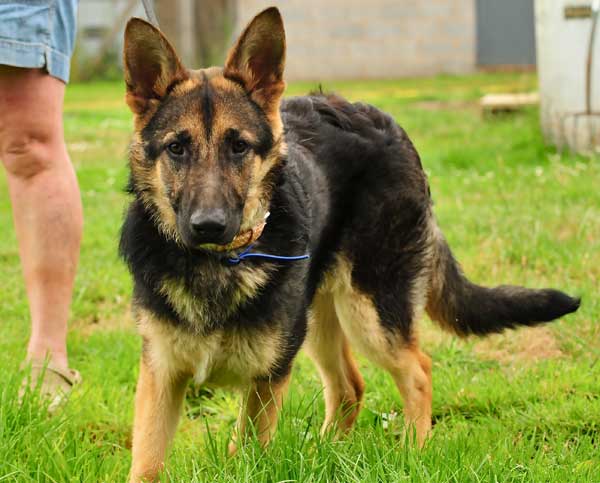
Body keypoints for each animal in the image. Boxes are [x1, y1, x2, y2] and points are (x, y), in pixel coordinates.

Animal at [120, 5, 580, 482]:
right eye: (177, 148)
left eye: (238, 147)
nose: (208, 226)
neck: (218, 266)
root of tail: (391, 126)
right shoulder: (160, 378)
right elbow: (147, 464)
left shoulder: (267, 378)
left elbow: (245, 453)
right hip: (321, 319)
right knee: (349, 388)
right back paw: (324, 453)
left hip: (369, 312)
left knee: (418, 370)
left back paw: (413, 454)